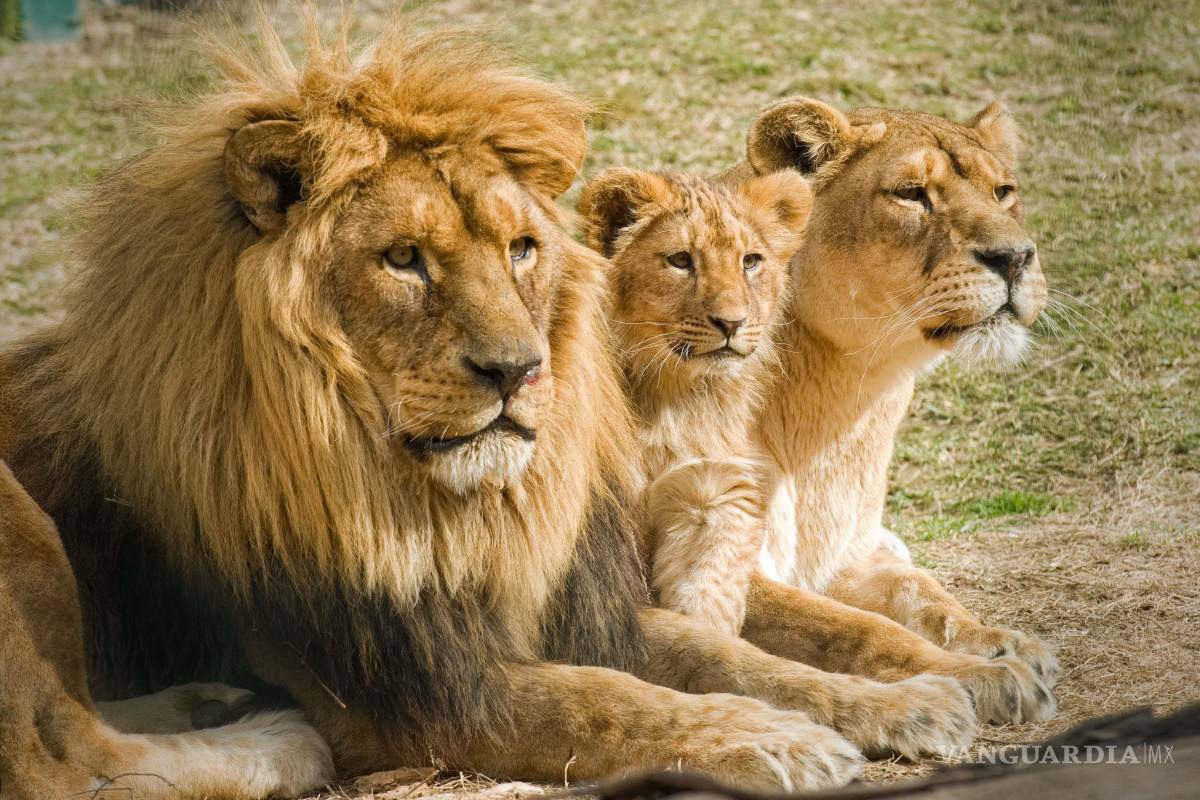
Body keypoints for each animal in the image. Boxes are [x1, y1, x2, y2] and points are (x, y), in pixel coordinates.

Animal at [0, 19, 906, 797]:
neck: (448, 514)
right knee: (61, 756)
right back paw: (272, 740)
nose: (519, 370)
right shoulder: (395, 693)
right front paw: (778, 740)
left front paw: (907, 699)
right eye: (404, 259)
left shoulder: (560, 613)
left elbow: (724, 653)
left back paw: (209, 703)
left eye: (522, 250)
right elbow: (598, 703)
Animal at [715, 98, 1060, 724]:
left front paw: (999, 641)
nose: (1016, 257)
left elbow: (921, 590)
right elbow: (855, 629)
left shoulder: (847, 552)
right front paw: (983, 675)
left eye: (1004, 192)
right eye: (911, 194)